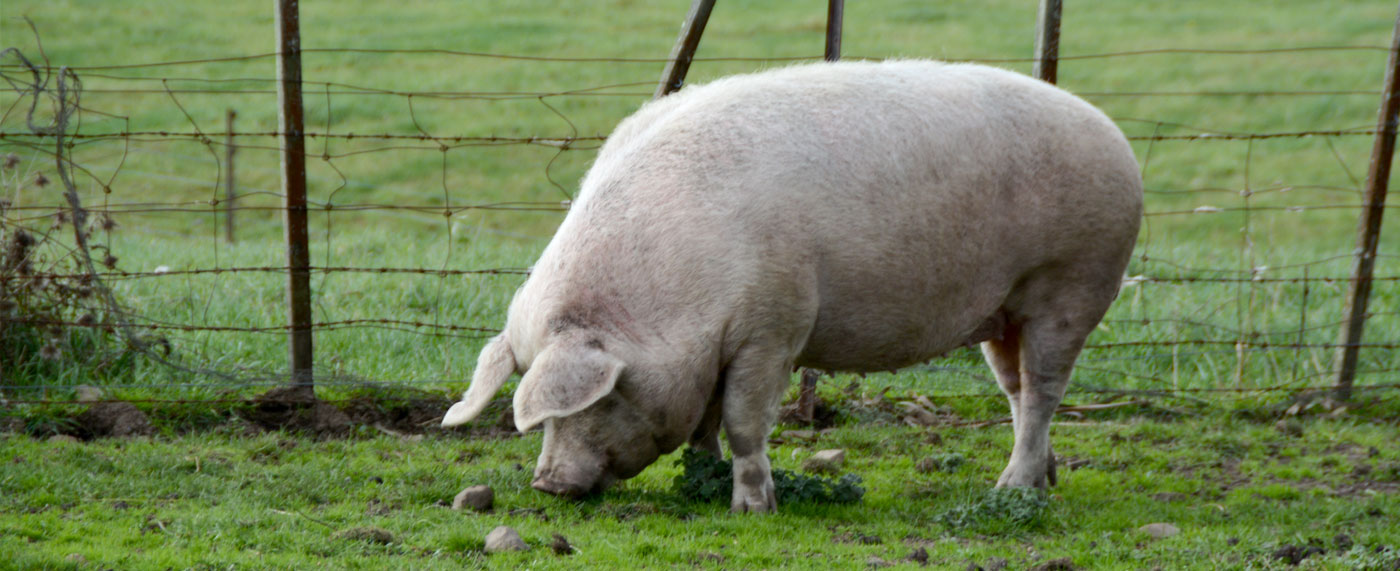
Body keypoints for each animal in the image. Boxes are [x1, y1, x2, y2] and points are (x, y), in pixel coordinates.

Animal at [441, 60, 1142, 513]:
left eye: (600, 398)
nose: (547, 485)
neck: (671, 296)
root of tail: (1116, 136)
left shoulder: (772, 328)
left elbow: (743, 420)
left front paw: (753, 509)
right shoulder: (715, 347)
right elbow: (703, 420)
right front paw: (698, 477)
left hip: (1071, 284)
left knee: (1045, 389)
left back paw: (1012, 491)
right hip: (1004, 310)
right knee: (1017, 390)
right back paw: (1043, 479)